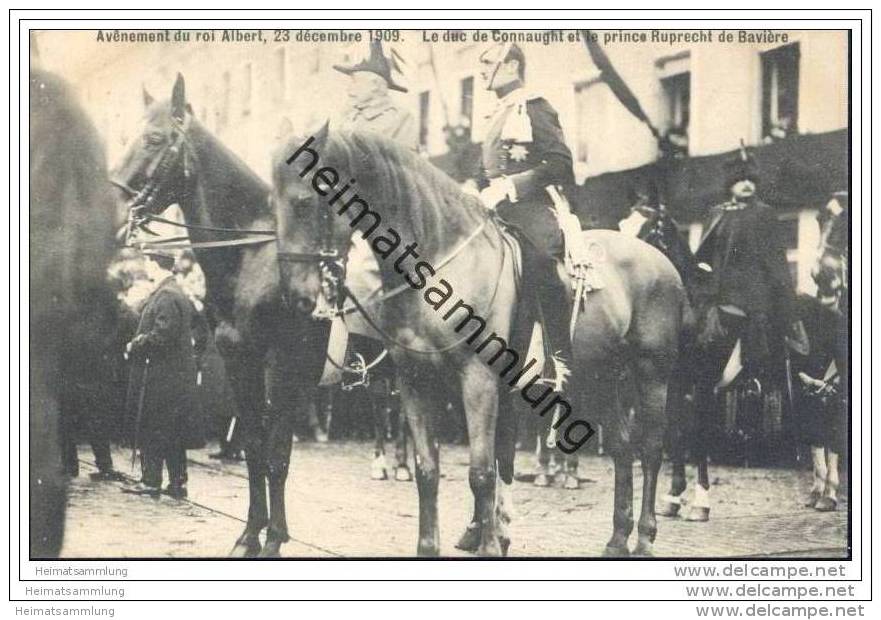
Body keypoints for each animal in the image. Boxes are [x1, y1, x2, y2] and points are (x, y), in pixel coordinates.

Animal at [276, 130, 688, 556]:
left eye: (304, 201)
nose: (295, 290)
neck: (439, 266)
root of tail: (661, 263)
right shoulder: (416, 381)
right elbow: (430, 469)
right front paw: (434, 546)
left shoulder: (479, 380)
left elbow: (483, 470)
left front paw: (490, 543)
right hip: (601, 377)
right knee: (623, 448)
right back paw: (618, 538)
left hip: (651, 373)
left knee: (651, 448)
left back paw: (644, 537)